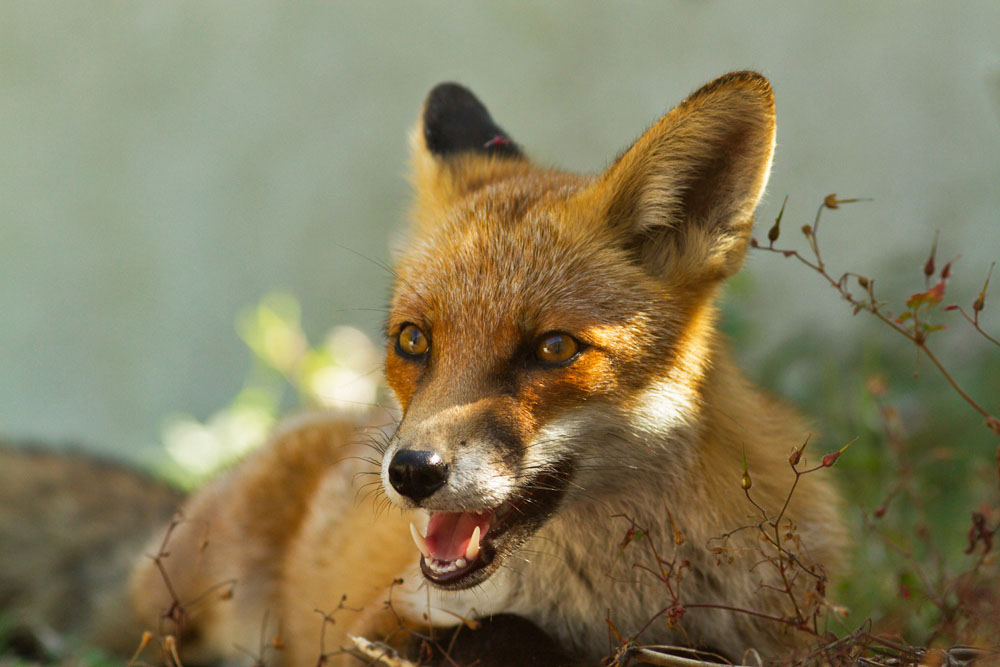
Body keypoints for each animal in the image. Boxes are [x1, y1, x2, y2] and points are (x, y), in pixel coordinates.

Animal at [3, 72, 847, 665]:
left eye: (553, 348)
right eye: (413, 340)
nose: (410, 472)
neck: (605, 599)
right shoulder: (375, 623)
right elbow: (498, 632)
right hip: (174, 617)